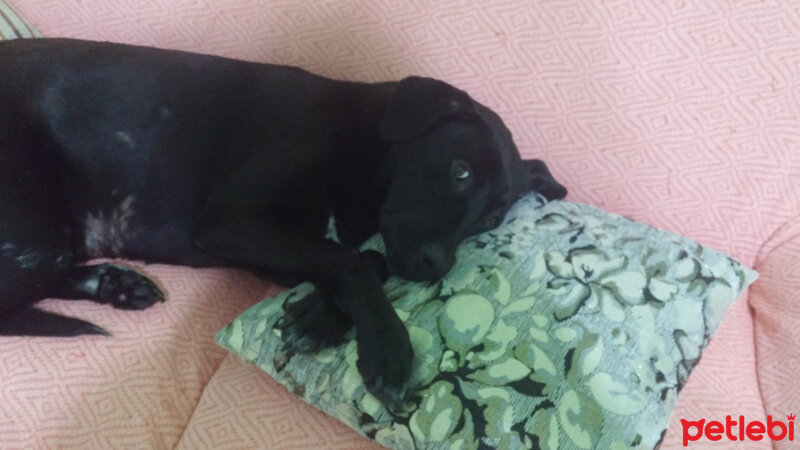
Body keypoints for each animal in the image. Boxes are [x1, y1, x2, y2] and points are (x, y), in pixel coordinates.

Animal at [0, 37, 564, 404]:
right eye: (460, 170)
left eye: (492, 218)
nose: (436, 266)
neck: (363, 147)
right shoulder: (229, 222)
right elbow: (350, 259)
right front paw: (387, 346)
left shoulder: (265, 248)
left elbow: (359, 258)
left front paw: (320, 318)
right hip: (37, 227)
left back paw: (116, 284)